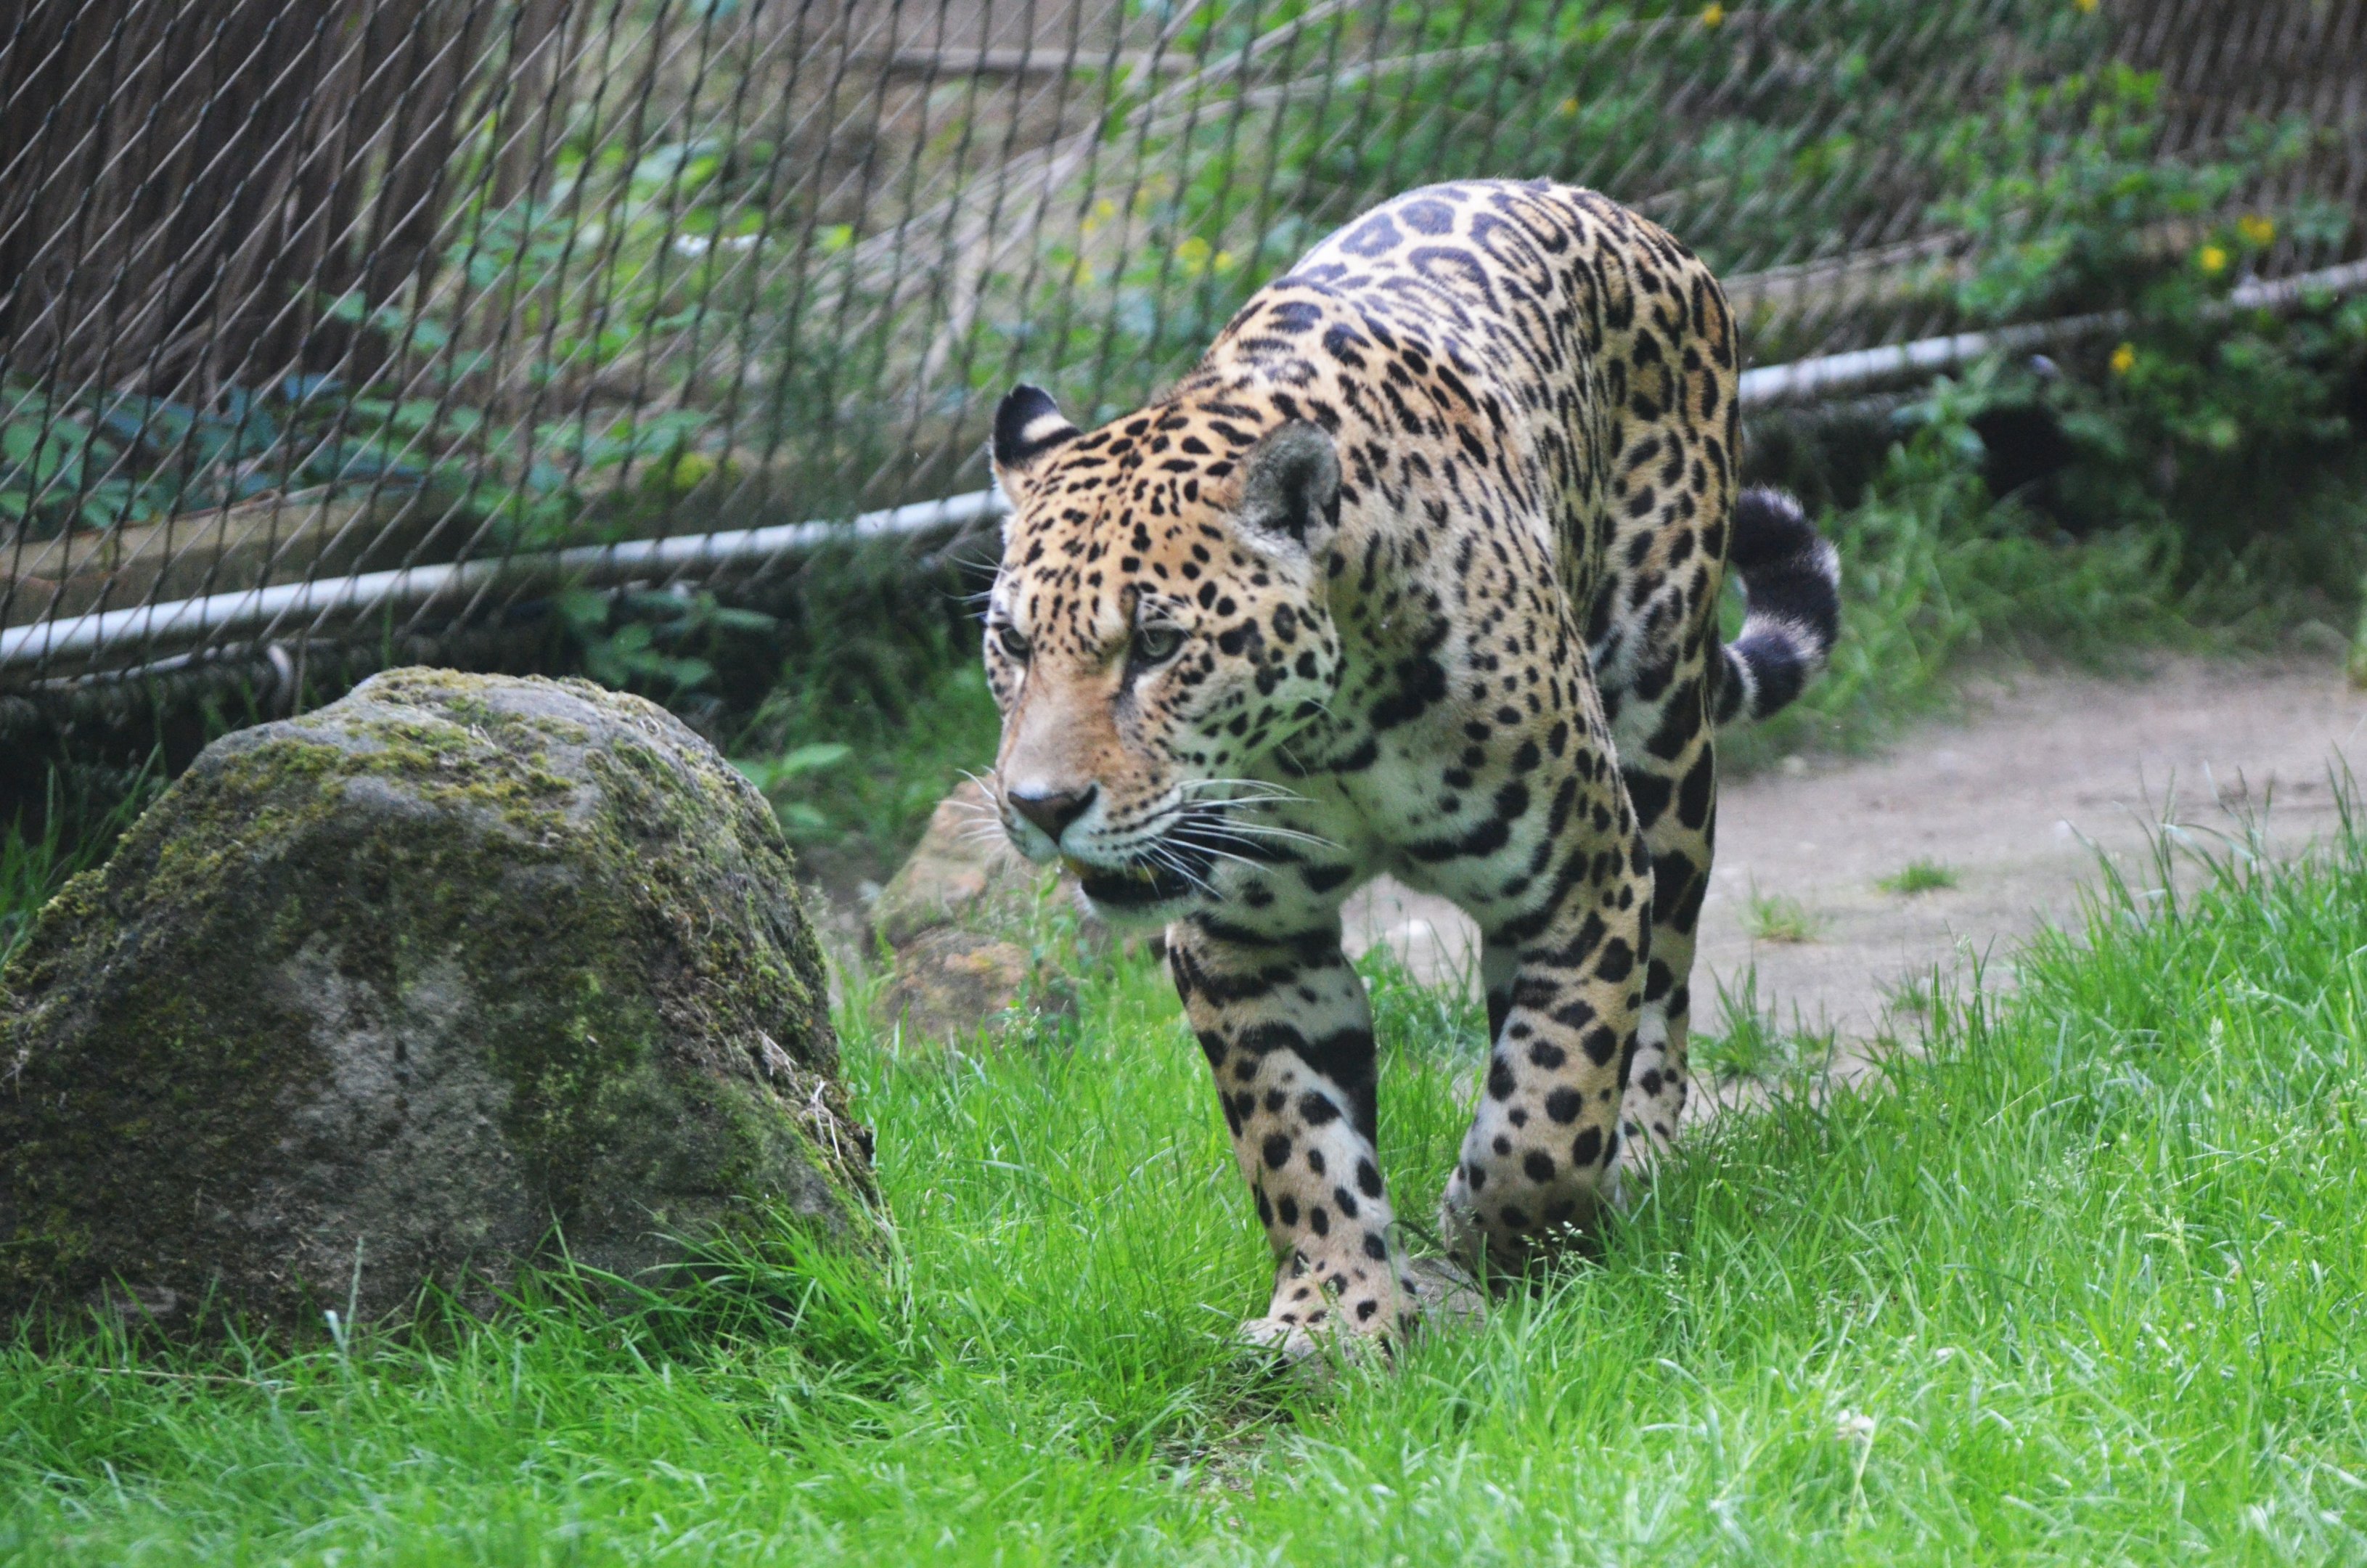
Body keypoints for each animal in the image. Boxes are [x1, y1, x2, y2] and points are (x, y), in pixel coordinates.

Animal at [981, 179, 1840, 1354]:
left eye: (1157, 645)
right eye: (1014, 645)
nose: (1041, 806)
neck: (1328, 739)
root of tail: (1608, 206)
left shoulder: (1587, 877)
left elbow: (1552, 1099)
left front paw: (1501, 1228)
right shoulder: (1246, 939)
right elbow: (1296, 1137)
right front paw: (1334, 1318)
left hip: (1664, 739)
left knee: (1661, 975)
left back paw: (1645, 1153)